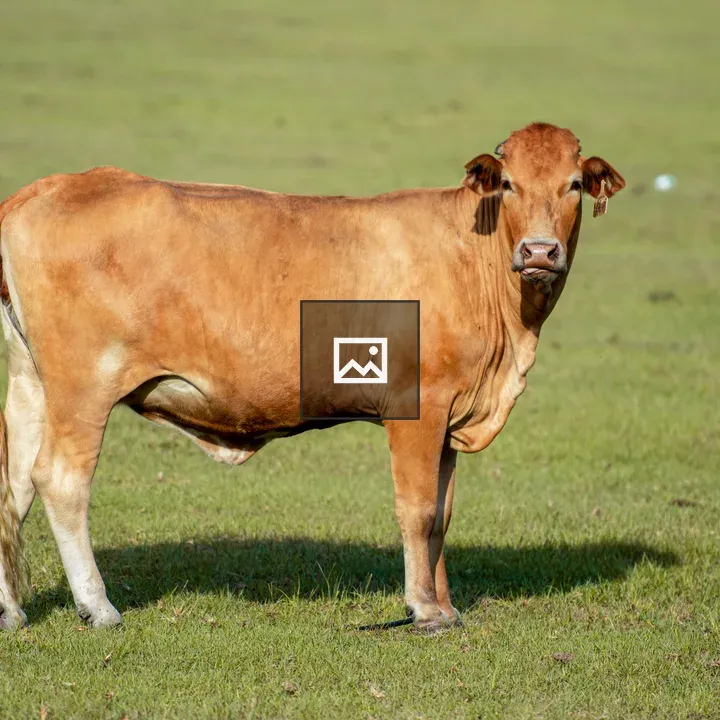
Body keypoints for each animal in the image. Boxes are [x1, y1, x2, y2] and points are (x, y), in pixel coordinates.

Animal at [0, 122, 625, 633]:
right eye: (510, 185)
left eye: (573, 184)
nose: (539, 251)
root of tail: (46, 189)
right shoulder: (418, 407)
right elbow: (418, 509)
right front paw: (424, 608)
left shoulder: (450, 416)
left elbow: (442, 516)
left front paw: (446, 605)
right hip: (83, 386)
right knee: (61, 480)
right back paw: (98, 606)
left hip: (31, 382)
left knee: (14, 487)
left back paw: (11, 611)